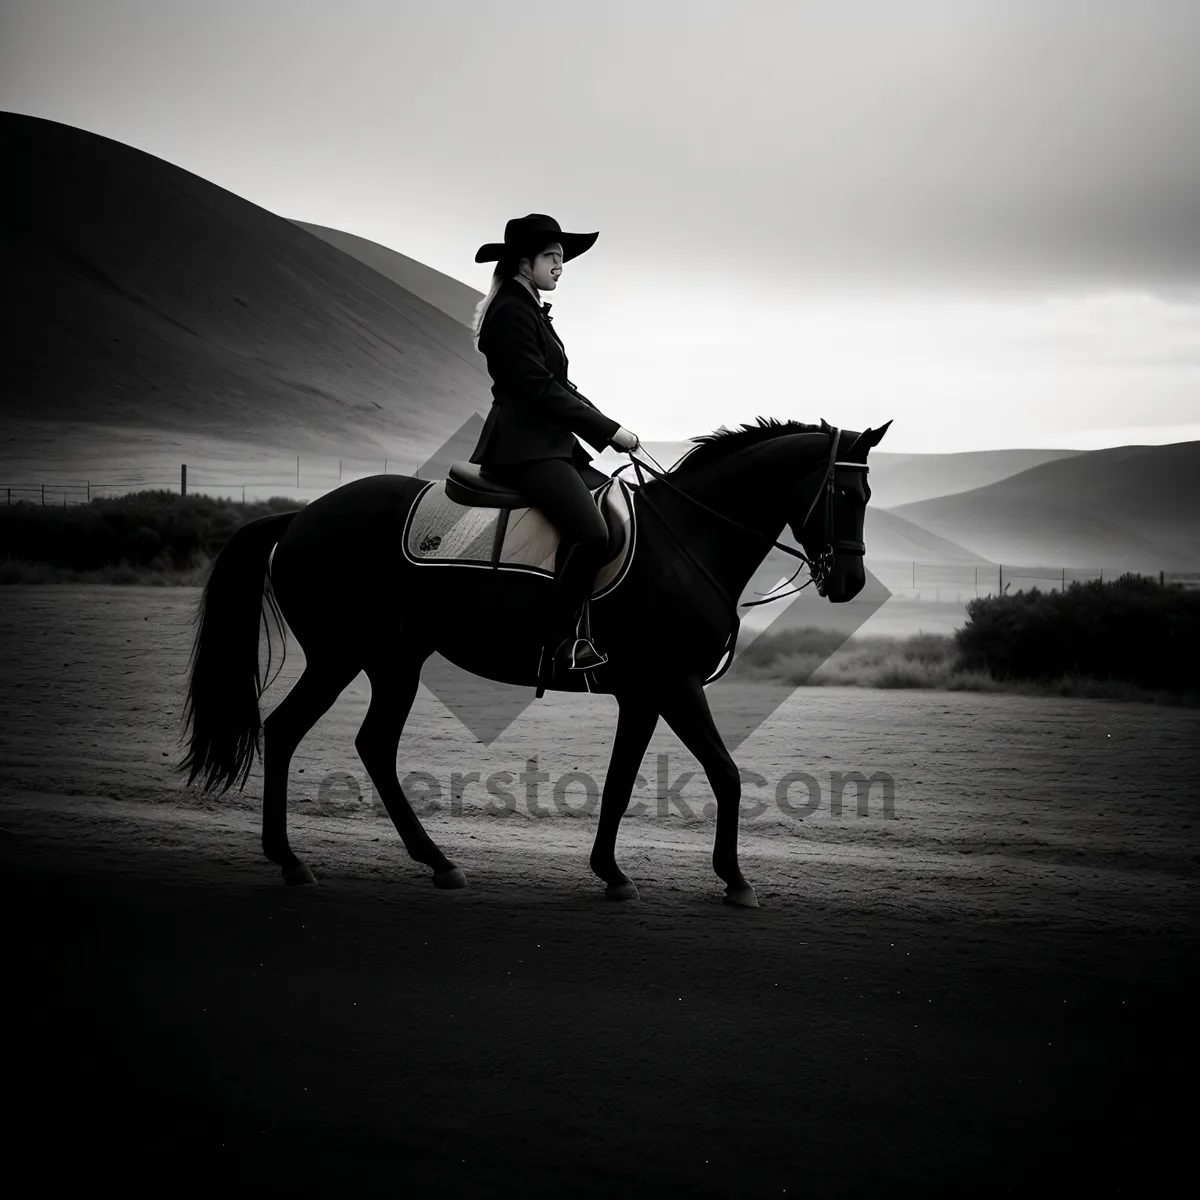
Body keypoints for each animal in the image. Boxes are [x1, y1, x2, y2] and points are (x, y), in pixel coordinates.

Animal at [177, 417, 892, 902]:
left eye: (868, 499)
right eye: (844, 496)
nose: (848, 583)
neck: (688, 541)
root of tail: (302, 517)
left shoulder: (644, 693)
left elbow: (622, 781)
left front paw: (611, 873)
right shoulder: (676, 683)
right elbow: (726, 773)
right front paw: (736, 879)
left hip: (394, 661)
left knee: (373, 745)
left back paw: (436, 862)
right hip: (340, 655)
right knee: (285, 731)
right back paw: (291, 860)